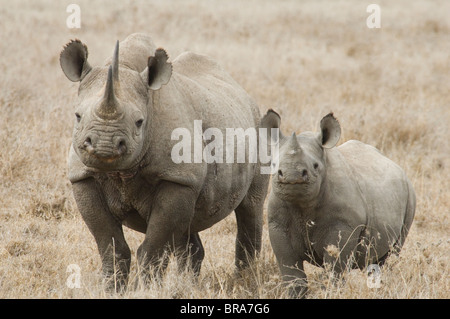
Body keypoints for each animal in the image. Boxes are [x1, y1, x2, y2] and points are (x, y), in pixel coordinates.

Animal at [61, 33, 268, 292]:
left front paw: (146, 291)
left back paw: (244, 282)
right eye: (78, 116)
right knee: (188, 225)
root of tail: (245, 94)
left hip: (259, 127)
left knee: (250, 206)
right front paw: (111, 290)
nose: (104, 146)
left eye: (139, 122)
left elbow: (153, 247)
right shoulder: (83, 177)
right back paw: (190, 284)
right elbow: (111, 246)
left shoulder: (176, 178)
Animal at [264, 111, 414, 298]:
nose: (292, 176)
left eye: (315, 166)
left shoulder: (344, 225)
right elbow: (291, 272)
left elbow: (335, 269)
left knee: (392, 253)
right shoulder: (277, 224)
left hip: (410, 195)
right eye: (273, 165)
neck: (303, 205)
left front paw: (331, 292)